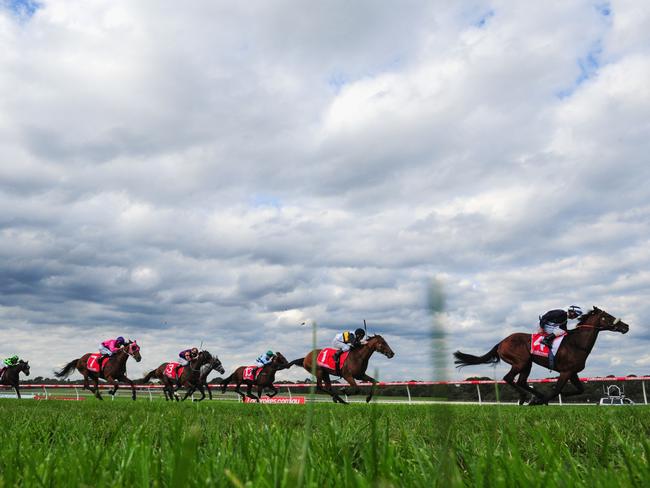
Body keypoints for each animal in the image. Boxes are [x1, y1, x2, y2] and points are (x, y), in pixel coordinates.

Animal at [450, 308, 628, 404]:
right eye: (607, 316)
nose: (625, 326)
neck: (577, 343)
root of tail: (501, 342)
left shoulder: (573, 372)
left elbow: (580, 389)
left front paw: (551, 397)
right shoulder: (565, 372)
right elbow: (557, 390)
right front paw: (540, 401)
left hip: (527, 363)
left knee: (521, 381)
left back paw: (532, 396)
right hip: (520, 362)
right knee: (509, 378)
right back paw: (527, 397)